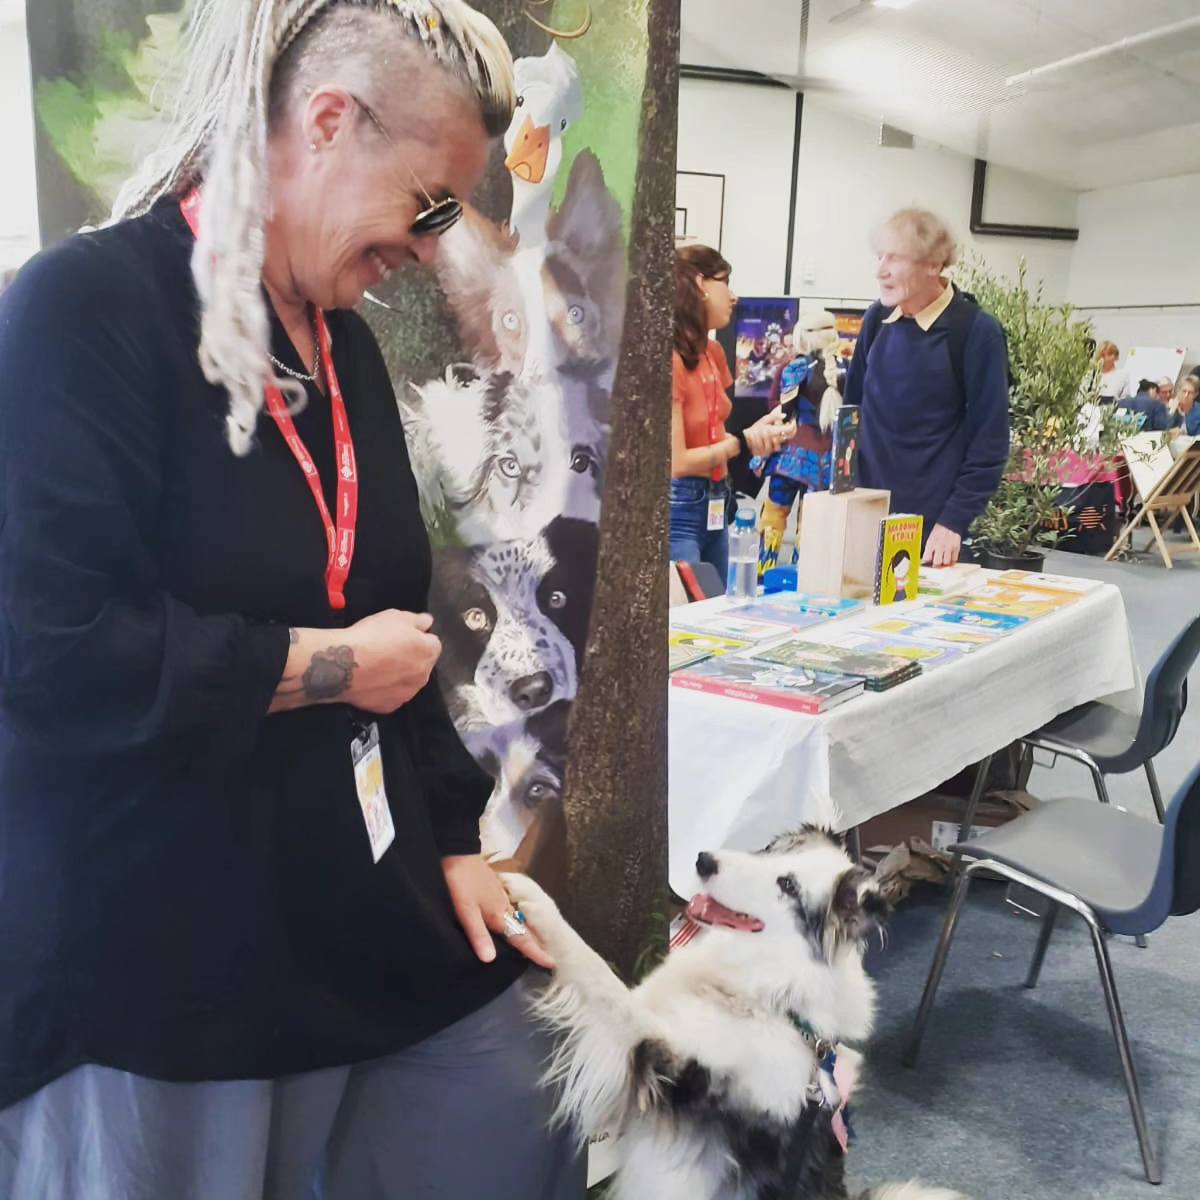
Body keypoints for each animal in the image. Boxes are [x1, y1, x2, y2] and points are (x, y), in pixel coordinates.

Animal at [501, 830, 960, 1200]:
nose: (704, 860)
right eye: (771, 849)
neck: (769, 1002)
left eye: (787, 885)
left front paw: (532, 899)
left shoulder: (660, 1059)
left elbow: (596, 973)